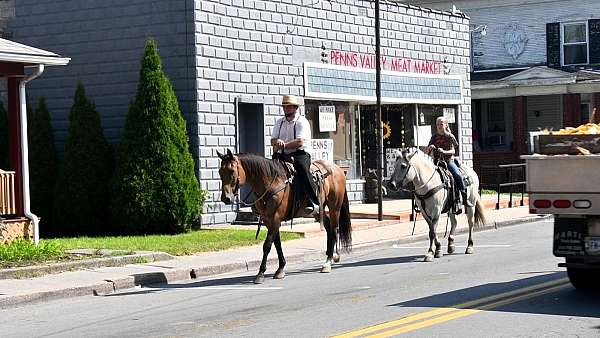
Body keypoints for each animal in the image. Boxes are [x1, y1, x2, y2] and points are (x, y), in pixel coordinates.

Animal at [218, 149, 352, 284]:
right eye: (220, 171)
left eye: (232, 171)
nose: (226, 198)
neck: (271, 182)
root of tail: (337, 168)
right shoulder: (268, 220)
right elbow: (277, 243)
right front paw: (280, 269)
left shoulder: (276, 219)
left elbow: (267, 245)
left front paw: (261, 273)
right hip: (320, 210)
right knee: (329, 228)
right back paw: (332, 256)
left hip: (334, 207)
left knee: (334, 229)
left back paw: (328, 262)